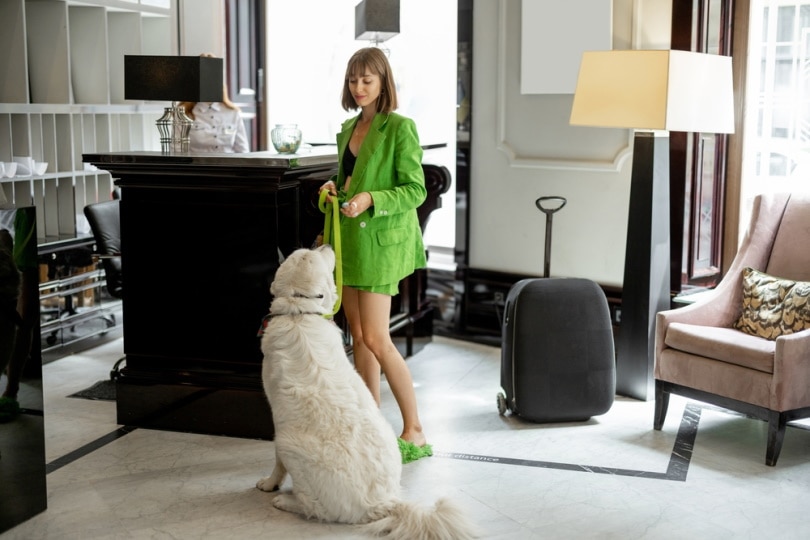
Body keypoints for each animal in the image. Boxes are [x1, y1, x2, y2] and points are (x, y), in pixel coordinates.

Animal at [256, 246, 476, 540]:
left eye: (312, 255)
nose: (325, 245)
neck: (299, 314)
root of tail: (381, 503)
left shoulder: (276, 417)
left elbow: (277, 465)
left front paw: (269, 484)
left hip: (287, 443)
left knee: (313, 507)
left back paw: (285, 501)